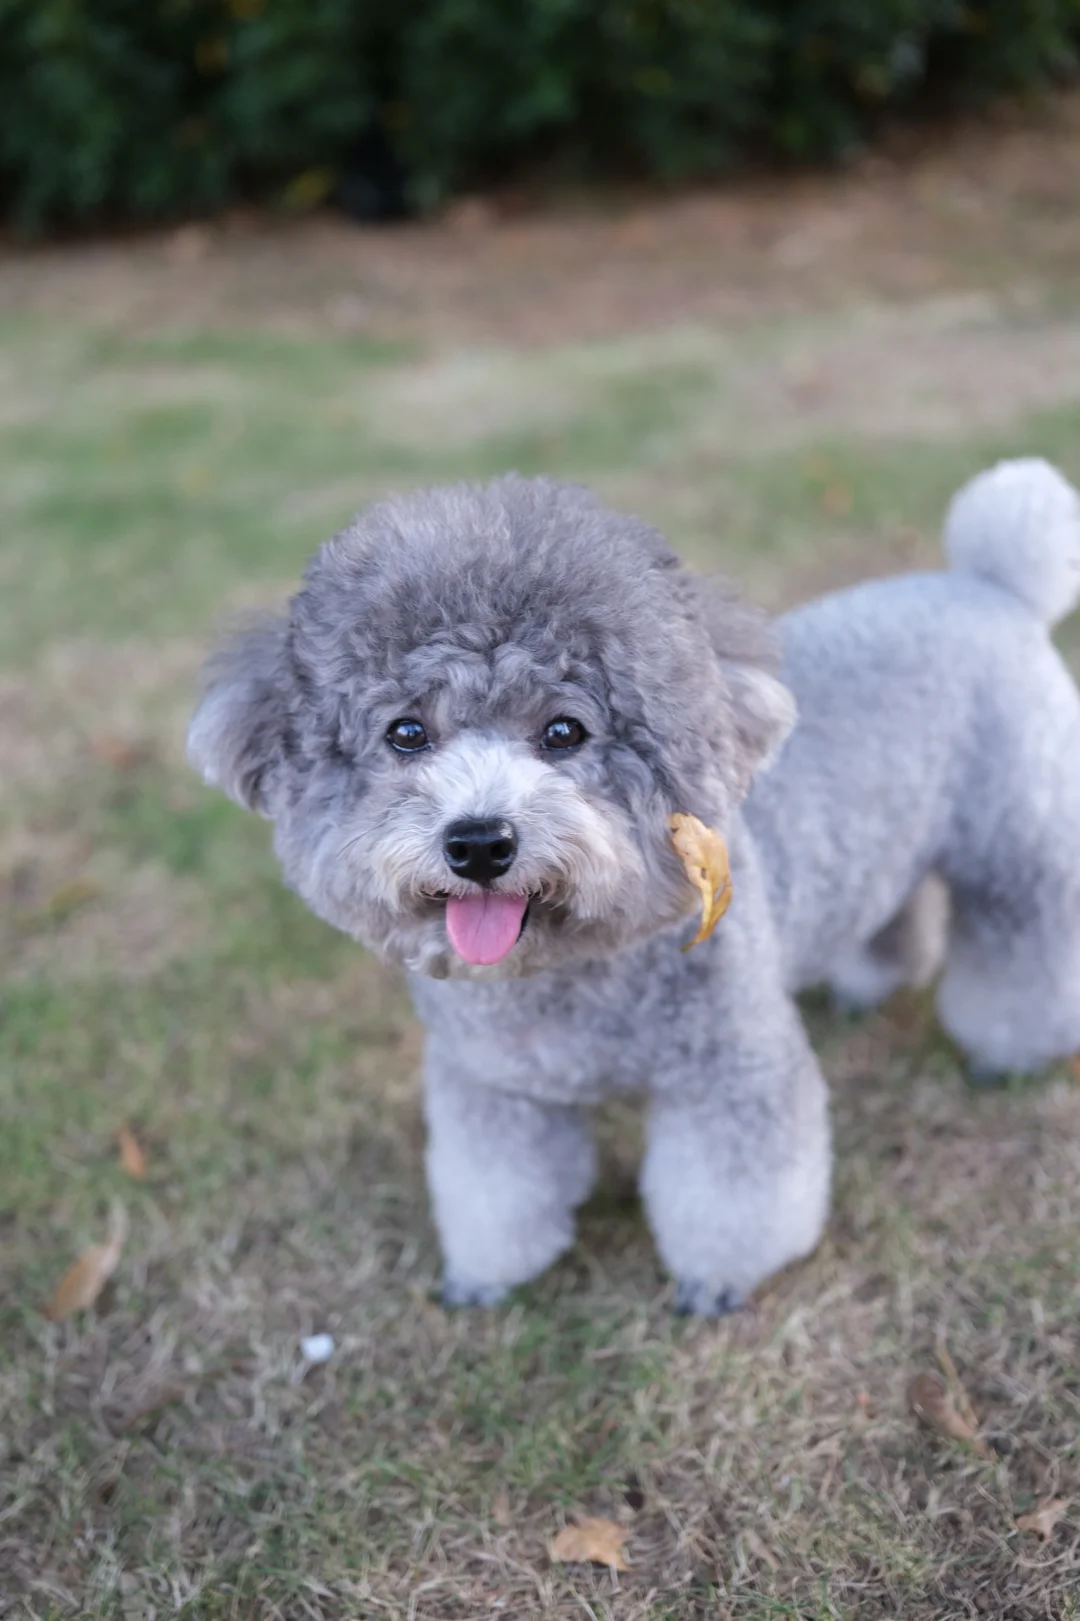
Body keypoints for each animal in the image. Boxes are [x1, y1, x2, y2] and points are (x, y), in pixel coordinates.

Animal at [187, 458, 1080, 1314]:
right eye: (406, 733)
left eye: (564, 731)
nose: (479, 842)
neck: (568, 969)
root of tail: (990, 581)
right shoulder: (495, 1084)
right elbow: (497, 1191)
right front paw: (486, 1279)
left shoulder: (729, 1067)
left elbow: (732, 1192)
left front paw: (719, 1281)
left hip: (1021, 840)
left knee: (1030, 937)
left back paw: (1009, 1050)